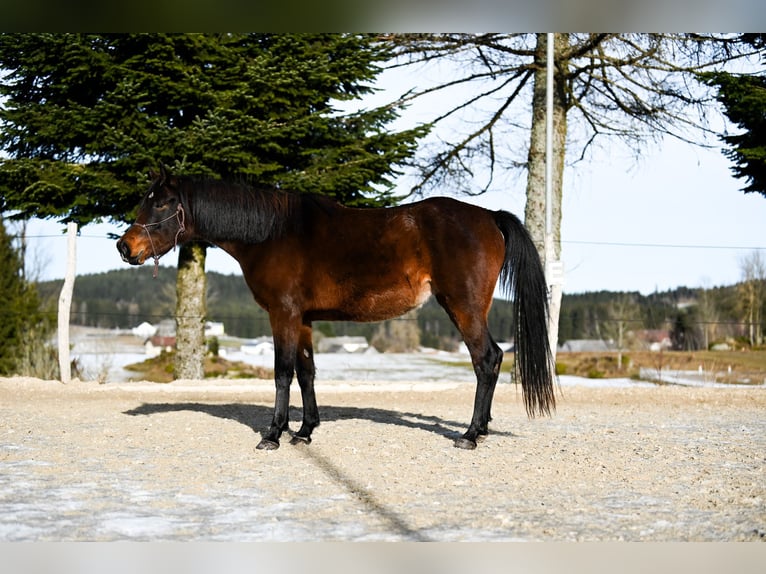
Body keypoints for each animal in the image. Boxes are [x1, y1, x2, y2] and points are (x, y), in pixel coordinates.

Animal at [117, 165, 556, 450]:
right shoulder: (304, 320)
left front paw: (273, 434)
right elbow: (307, 373)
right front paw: (304, 431)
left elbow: (282, 373)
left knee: (488, 359)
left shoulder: (283, 314)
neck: (271, 234)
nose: (125, 247)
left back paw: (470, 435)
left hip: (463, 307)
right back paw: (480, 430)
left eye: (162, 203)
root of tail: (489, 216)